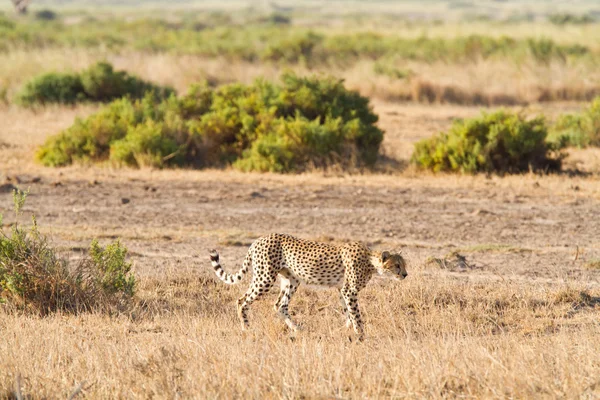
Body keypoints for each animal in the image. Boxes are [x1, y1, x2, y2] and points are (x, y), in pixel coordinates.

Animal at [207, 234, 408, 340]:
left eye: (404, 264)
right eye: (397, 265)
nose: (405, 274)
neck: (370, 262)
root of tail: (260, 238)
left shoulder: (341, 290)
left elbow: (348, 313)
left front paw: (345, 330)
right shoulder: (349, 290)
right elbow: (355, 314)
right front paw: (360, 335)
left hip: (291, 280)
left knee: (280, 305)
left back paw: (297, 330)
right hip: (265, 278)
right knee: (242, 300)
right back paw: (246, 328)